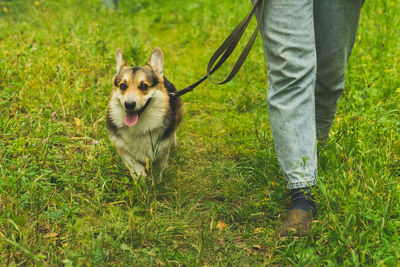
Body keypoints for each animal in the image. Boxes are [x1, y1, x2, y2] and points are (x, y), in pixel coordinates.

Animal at [105, 48, 182, 178]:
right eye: (123, 86)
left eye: (144, 86)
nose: (129, 104)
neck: (138, 128)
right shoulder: (120, 146)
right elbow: (131, 161)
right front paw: (139, 174)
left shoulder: (163, 148)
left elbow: (160, 165)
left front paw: (157, 178)